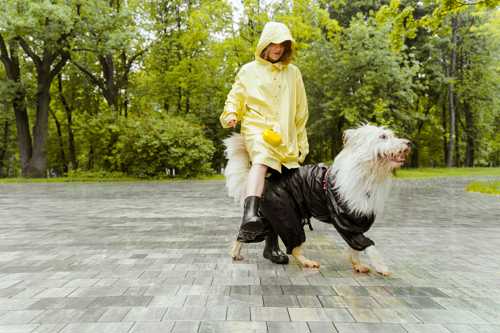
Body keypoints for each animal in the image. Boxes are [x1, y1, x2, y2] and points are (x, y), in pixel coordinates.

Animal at [224, 124, 410, 274]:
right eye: (383, 137)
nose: (408, 144)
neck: (367, 174)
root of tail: (265, 180)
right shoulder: (343, 221)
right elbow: (368, 245)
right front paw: (381, 267)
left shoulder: (355, 221)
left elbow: (355, 246)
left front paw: (357, 264)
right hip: (286, 215)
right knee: (294, 246)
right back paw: (307, 262)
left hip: (273, 214)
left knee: (249, 231)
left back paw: (237, 252)